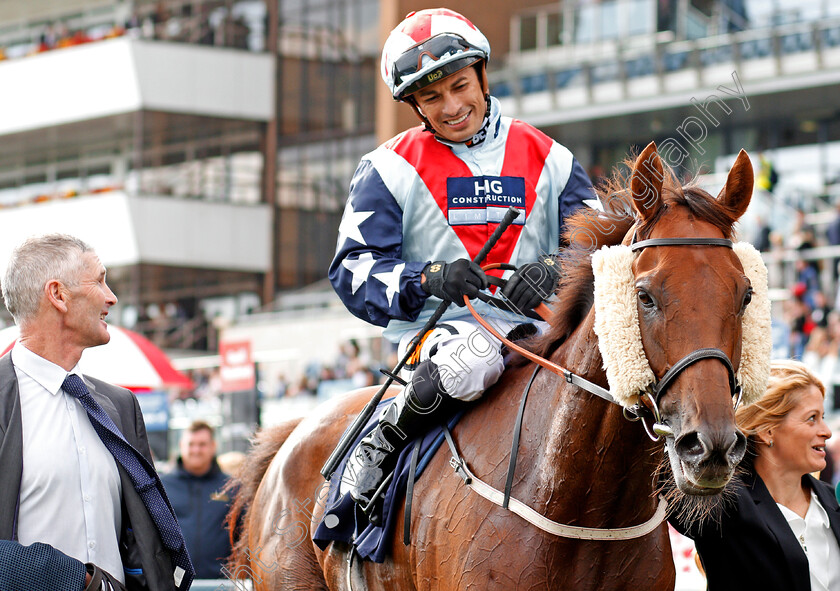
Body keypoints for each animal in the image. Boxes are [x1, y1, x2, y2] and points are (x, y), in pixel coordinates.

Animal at [230, 145, 768, 591]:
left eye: (745, 294)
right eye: (645, 295)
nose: (710, 446)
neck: (582, 508)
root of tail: (290, 433)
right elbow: (358, 260)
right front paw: (451, 276)